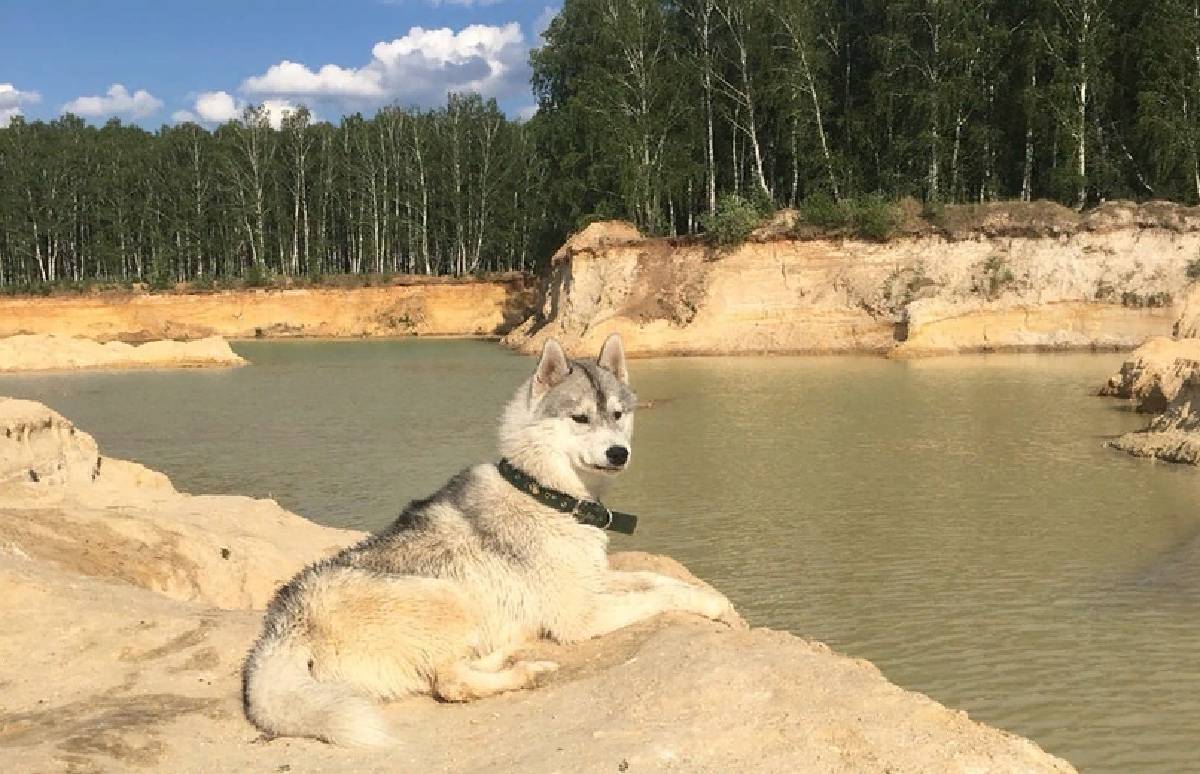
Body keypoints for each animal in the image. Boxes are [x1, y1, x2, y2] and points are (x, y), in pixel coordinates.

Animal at [240, 336, 734, 744]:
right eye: (579, 418)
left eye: (618, 414)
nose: (619, 453)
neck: (546, 493)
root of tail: (285, 620)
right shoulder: (581, 615)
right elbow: (660, 597)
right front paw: (709, 606)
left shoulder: (592, 581)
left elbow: (658, 579)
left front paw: (719, 601)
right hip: (448, 596)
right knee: (450, 683)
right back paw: (524, 671)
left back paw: (508, 650)